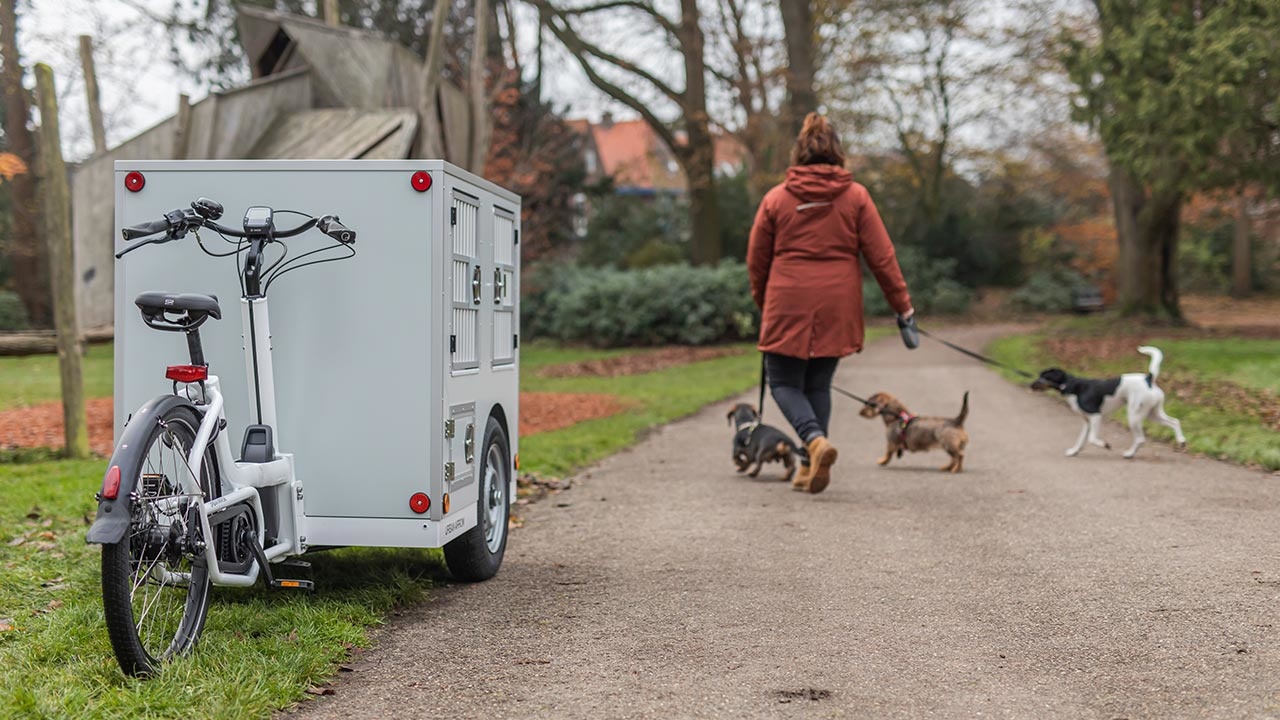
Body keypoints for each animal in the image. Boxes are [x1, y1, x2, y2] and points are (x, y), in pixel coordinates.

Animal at [1029, 345, 1187, 456]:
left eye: (1042, 377)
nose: (1030, 385)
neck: (1069, 385)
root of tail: (1148, 378)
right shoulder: (1086, 421)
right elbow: (1081, 439)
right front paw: (1074, 451)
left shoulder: (1095, 416)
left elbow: (1092, 438)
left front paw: (1105, 445)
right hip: (1152, 413)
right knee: (1174, 422)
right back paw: (1181, 441)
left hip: (1134, 415)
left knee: (1141, 439)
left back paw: (1129, 454)